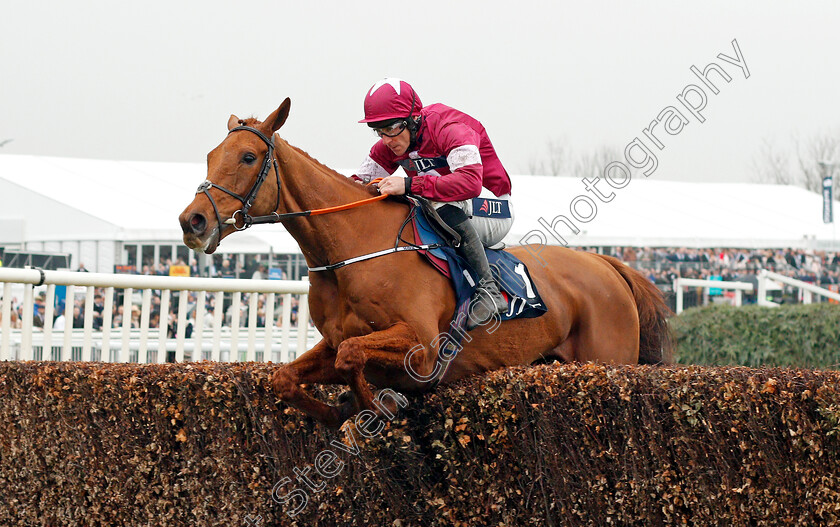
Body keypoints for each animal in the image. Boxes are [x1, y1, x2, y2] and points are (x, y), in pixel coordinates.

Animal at [180, 99, 672, 428]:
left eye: (248, 157)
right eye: (210, 156)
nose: (193, 220)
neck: (351, 249)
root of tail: (610, 266)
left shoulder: (423, 344)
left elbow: (352, 354)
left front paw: (375, 406)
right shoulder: (333, 339)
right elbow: (290, 375)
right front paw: (340, 409)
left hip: (608, 360)